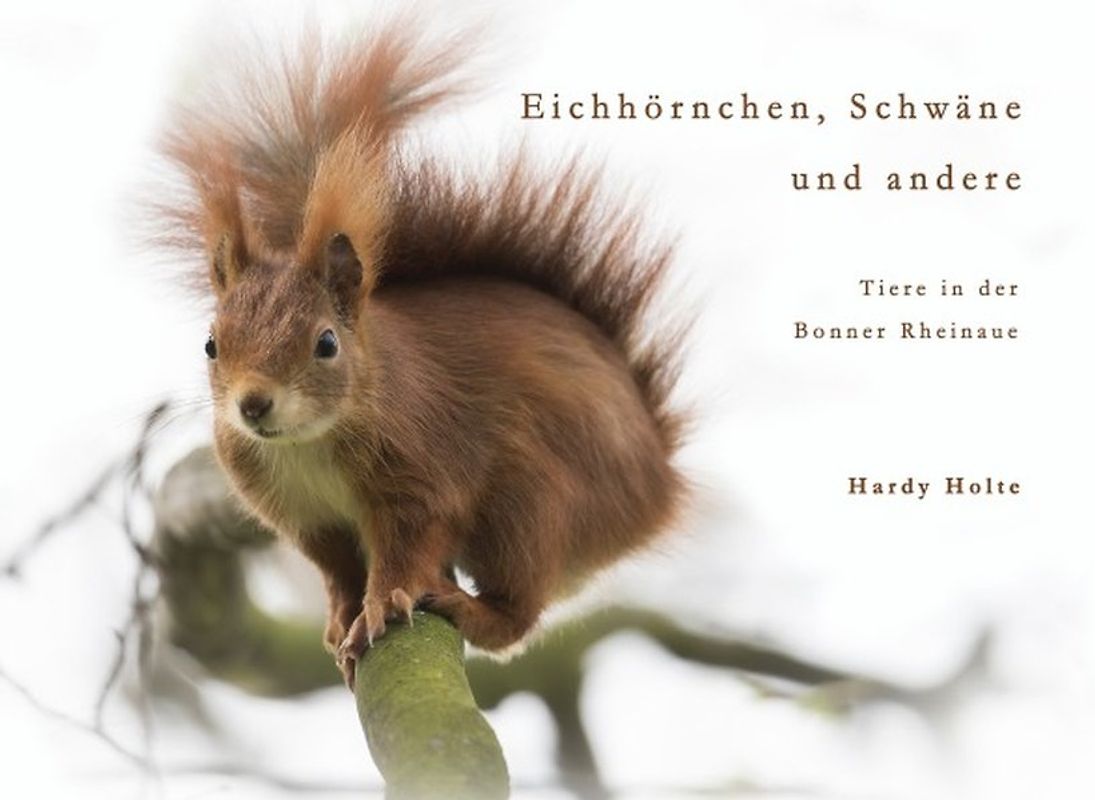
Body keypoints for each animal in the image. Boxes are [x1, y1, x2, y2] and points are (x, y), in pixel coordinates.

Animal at [153, 19, 688, 686]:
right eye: (210, 343)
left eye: (326, 343)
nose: (253, 406)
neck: (309, 444)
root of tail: (658, 486)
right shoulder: (309, 518)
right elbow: (336, 570)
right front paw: (341, 616)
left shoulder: (424, 472)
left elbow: (407, 549)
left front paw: (381, 605)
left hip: (532, 498)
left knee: (519, 612)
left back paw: (469, 607)